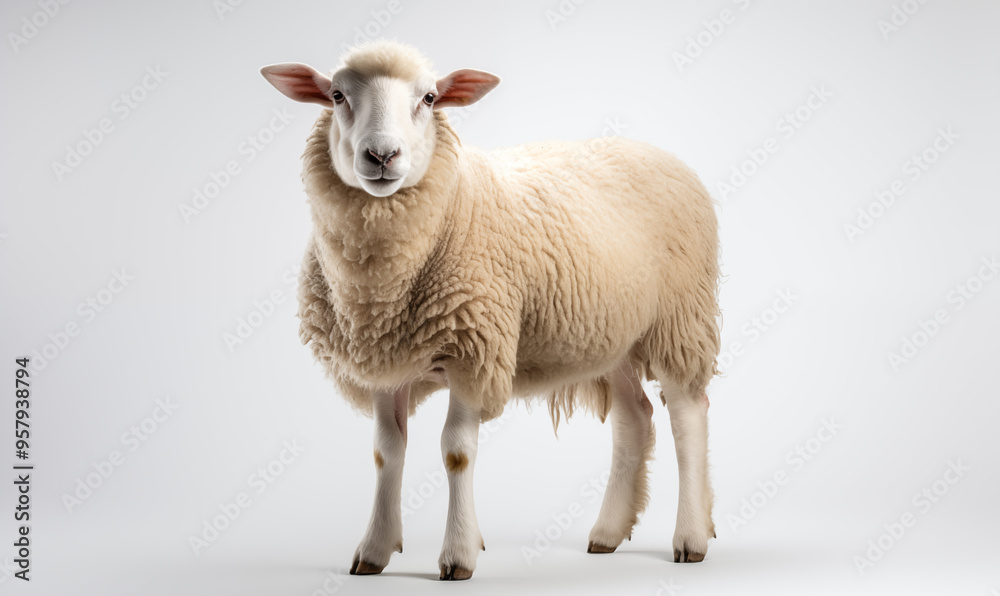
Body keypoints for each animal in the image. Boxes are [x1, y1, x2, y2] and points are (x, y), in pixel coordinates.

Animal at [260, 40, 720, 580]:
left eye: (429, 98)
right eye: (336, 95)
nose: (381, 155)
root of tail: (661, 152)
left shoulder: (473, 349)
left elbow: (457, 452)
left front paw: (458, 554)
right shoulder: (385, 364)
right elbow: (386, 453)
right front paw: (374, 550)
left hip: (679, 321)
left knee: (687, 417)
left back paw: (690, 537)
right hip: (615, 336)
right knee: (635, 419)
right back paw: (607, 533)